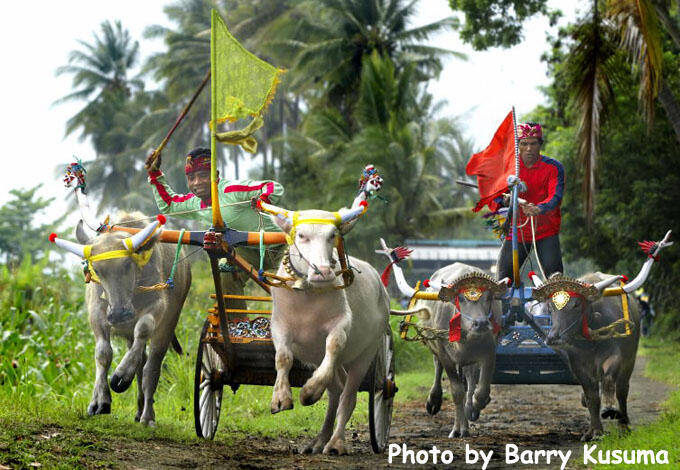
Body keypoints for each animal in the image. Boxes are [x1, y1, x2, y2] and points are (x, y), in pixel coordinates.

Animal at [50, 211, 191, 424]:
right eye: (97, 269)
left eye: (126, 264)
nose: (119, 314)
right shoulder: (97, 312)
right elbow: (103, 353)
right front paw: (101, 401)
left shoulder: (158, 306)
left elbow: (144, 328)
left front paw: (122, 376)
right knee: (140, 361)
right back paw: (135, 409)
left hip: (168, 325)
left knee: (151, 366)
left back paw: (147, 414)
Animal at [380, 241, 508, 438]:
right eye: (460, 298)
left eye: (488, 298)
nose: (480, 323)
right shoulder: (444, 353)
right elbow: (456, 391)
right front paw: (457, 429)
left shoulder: (489, 350)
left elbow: (481, 389)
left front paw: (476, 405)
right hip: (434, 345)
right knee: (438, 366)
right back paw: (435, 401)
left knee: (470, 377)